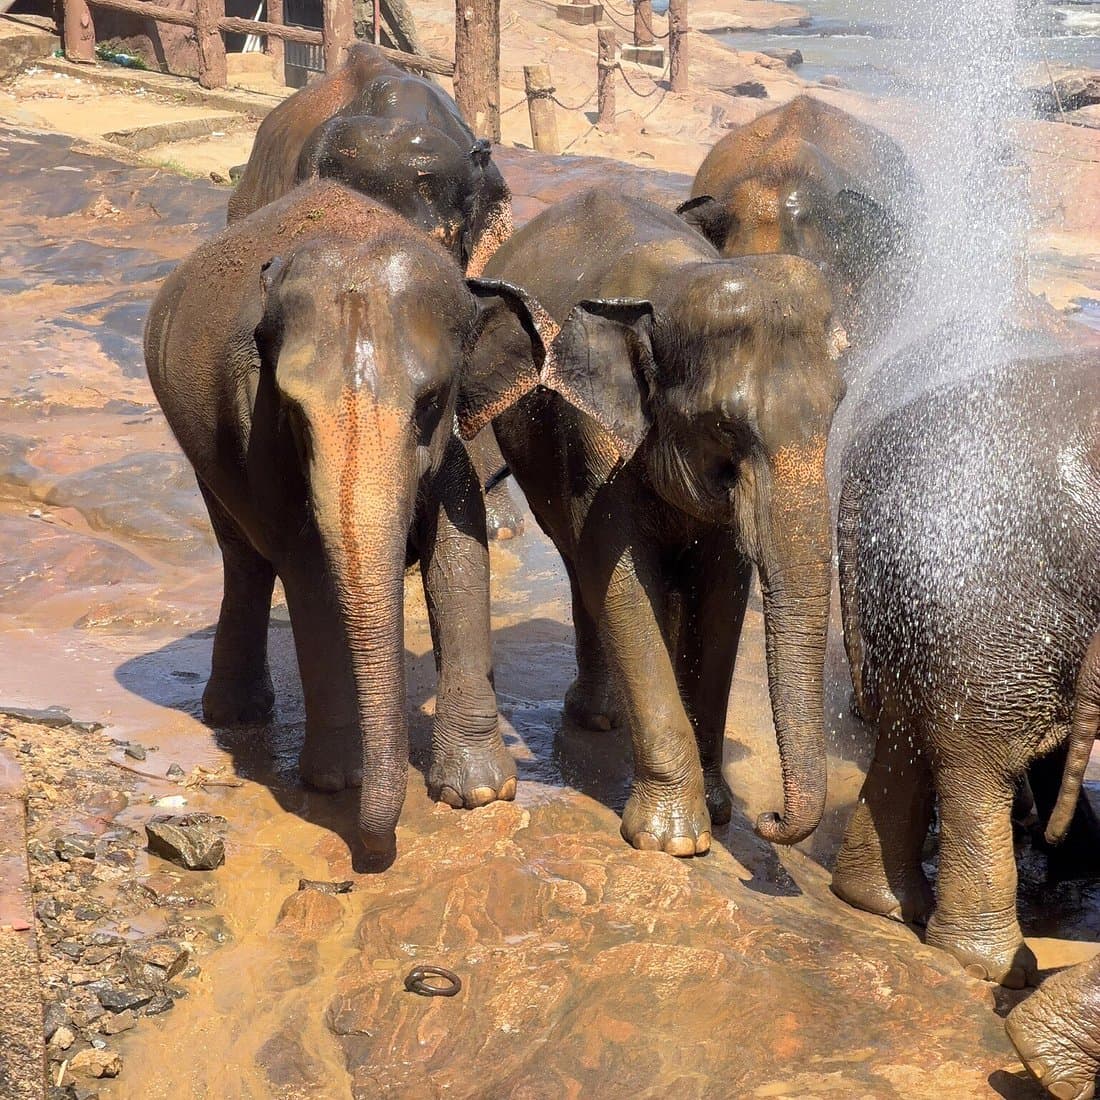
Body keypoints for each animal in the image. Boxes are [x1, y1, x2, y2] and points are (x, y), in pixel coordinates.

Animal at [143, 179, 551, 867]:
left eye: (430, 403)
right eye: (295, 413)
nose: (372, 855)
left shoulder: (452, 446)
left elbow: (459, 555)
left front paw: (480, 792)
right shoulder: (260, 432)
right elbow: (306, 569)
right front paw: (338, 782)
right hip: (201, 447)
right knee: (244, 555)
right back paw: (235, 716)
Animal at [482, 188, 848, 855]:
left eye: (836, 408)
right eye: (725, 426)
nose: (770, 819)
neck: (673, 284)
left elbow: (723, 592)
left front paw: (718, 810)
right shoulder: (595, 436)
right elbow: (622, 581)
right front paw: (672, 840)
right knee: (579, 565)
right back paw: (598, 716)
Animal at [830, 351, 1100, 987]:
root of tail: (857, 473)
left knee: (905, 734)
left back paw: (877, 901)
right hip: (987, 596)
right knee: (978, 761)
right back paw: (992, 964)